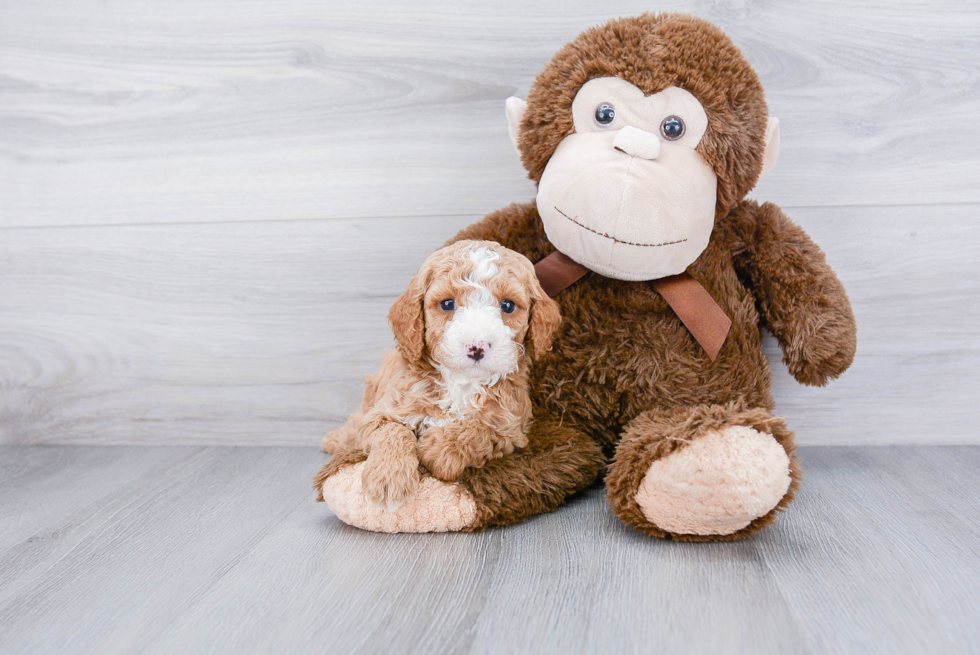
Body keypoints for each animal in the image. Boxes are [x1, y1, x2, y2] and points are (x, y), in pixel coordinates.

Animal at [318, 241, 556, 512]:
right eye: (447, 304)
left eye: (507, 306)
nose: (476, 347)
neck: (460, 381)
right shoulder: (385, 410)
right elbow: (391, 429)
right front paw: (389, 477)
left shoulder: (512, 428)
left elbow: (481, 428)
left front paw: (439, 450)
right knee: (355, 426)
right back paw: (334, 440)